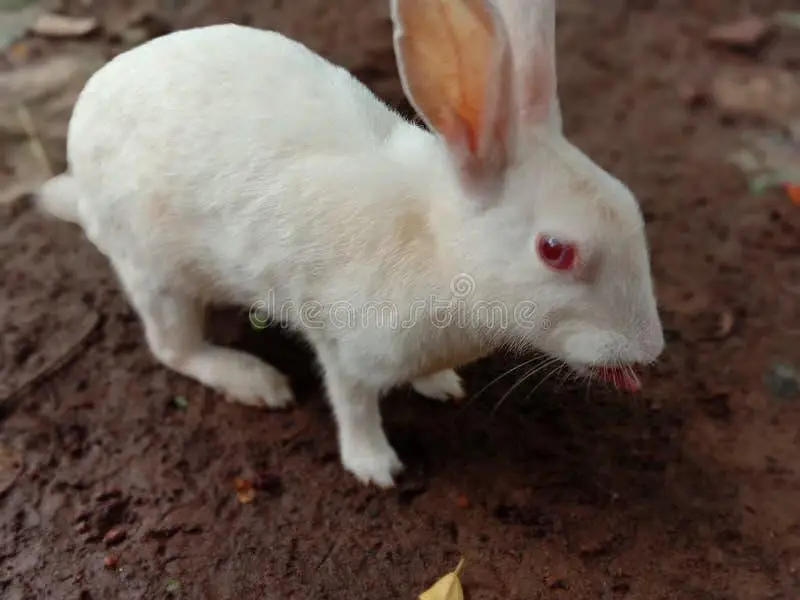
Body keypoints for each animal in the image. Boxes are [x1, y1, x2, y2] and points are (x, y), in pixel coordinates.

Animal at [35, 0, 665, 488]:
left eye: (631, 204)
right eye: (555, 250)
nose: (648, 350)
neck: (436, 244)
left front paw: (440, 385)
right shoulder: (346, 346)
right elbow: (353, 404)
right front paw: (375, 466)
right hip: (157, 273)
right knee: (174, 349)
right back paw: (255, 381)